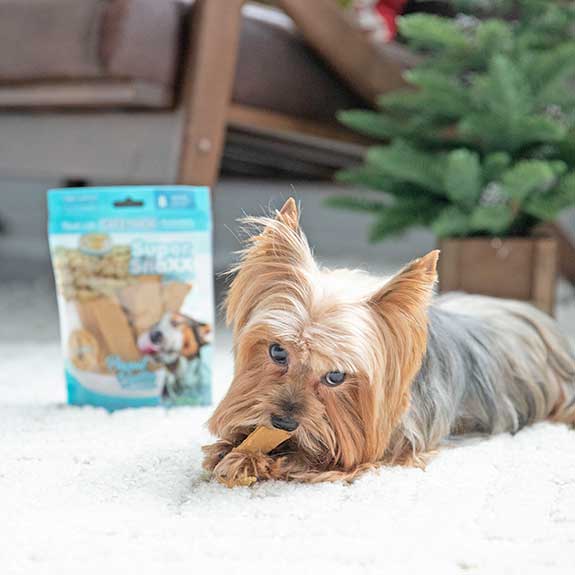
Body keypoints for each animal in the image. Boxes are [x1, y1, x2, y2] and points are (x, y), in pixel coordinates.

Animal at [204, 200, 575, 484]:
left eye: (336, 376)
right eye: (277, 351)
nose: (283, 423)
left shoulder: (392, 444)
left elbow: (331, 458)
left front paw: (251, 459)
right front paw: (231, 446)